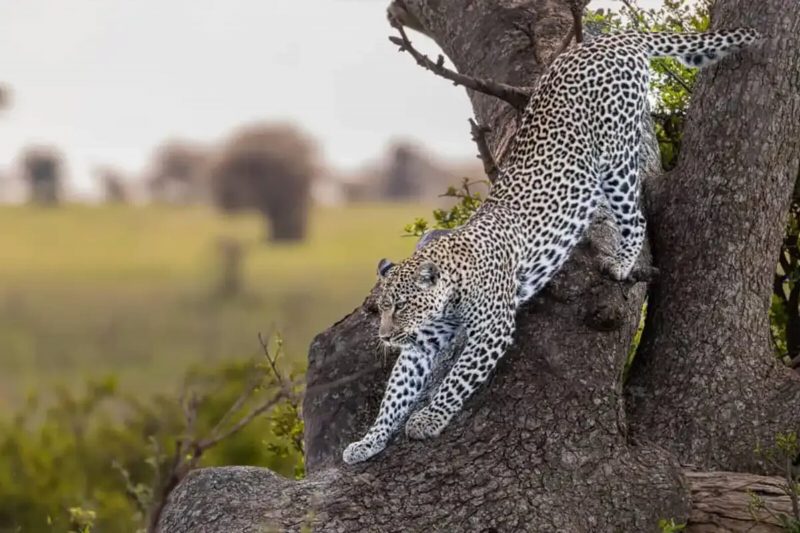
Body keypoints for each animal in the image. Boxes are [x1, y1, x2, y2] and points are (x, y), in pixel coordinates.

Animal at [343, 28, 761, 465]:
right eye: (381, 308)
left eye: (402, 306)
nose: (385, 336)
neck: (451, 285)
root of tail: (608, 42)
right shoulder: (423, 341)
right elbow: (395, 393)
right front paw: (369, 441)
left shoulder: (493, 328)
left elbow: (457, 378)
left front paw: (428, 418)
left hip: (616, 157)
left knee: (637, 213)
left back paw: (622, 261)